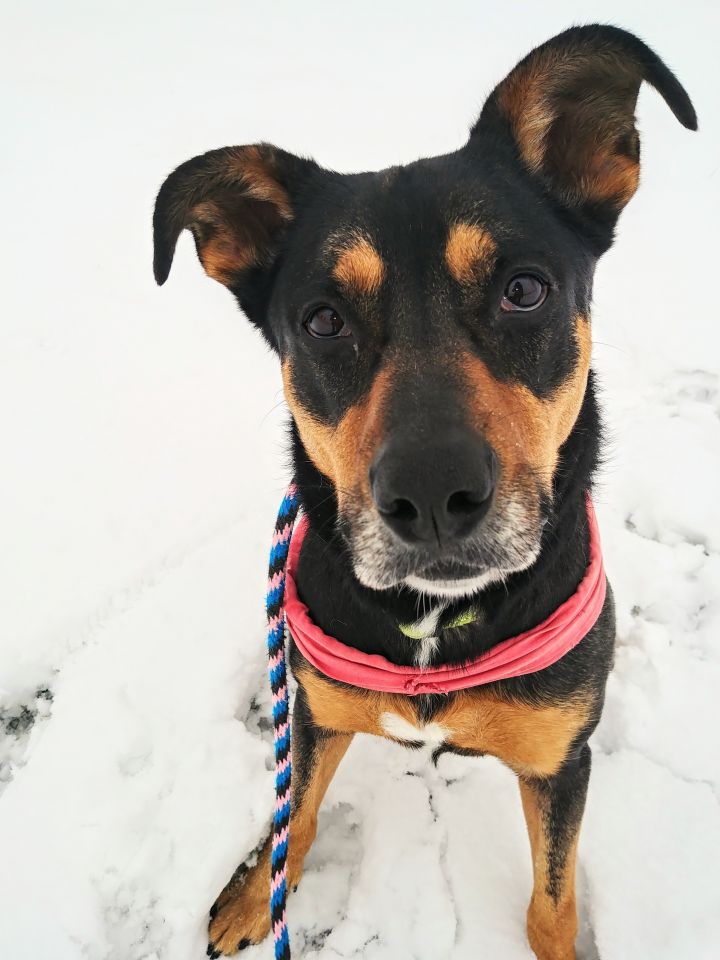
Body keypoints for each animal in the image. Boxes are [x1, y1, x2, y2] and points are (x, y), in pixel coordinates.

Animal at [153, 22, 696, 960]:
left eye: (524, 290)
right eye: (323, 320)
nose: (433, 497)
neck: (434, 623)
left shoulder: (561, 758)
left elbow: (551, 901)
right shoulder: (314, 708)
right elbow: (295, 814)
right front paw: (259, 895)